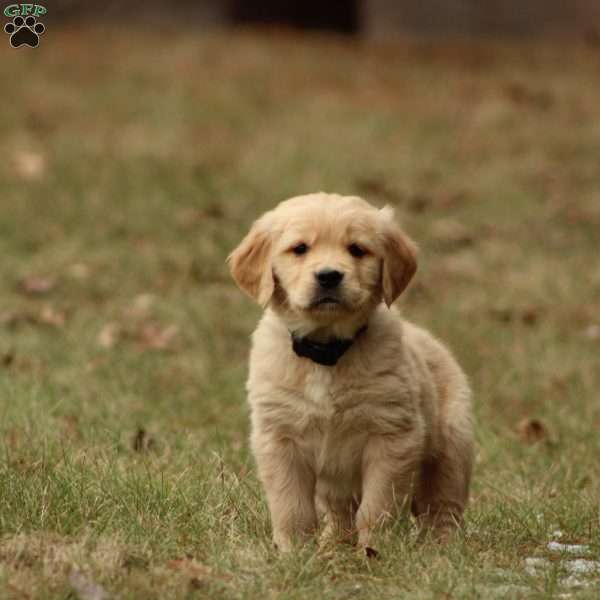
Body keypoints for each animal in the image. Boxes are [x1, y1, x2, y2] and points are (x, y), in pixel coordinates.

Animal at [230, 192, 474, 552]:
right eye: (300, 248)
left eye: (357, 249)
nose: (329, 276)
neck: (327, 352)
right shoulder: (279, 438)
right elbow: (292, 506)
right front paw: (294, 553)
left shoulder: (392, 436)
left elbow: (378, 506)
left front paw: (374, 550)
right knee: (340, 512)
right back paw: (333, 544)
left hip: (452, 445)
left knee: (442, 506)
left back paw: (442, 549)